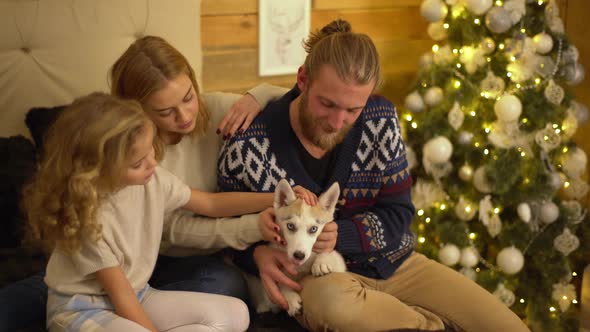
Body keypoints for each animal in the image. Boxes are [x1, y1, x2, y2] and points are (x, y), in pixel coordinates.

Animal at [249, 179, 350, 316]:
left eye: (314, 229)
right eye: (290, 226)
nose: (299, 255)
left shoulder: (338, 264)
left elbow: (330, 254)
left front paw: (322, 262)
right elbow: (280, 281)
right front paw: (290, 298)